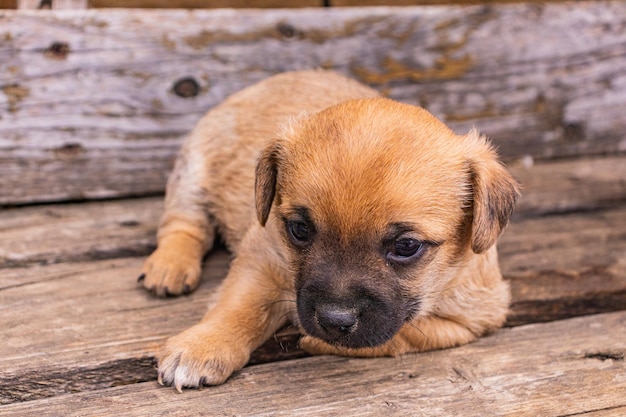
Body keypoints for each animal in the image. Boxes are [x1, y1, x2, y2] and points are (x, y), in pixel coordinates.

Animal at [139, 69, 520, 390]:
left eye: (407, 246)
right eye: (299, 229)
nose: (334, 319)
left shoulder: (473, 320)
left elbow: (406, 334)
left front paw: (316, 340)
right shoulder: (260, 258)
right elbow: (239, 306)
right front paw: (202, 346)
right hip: (193, 172)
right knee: (185, 225)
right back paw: (170, 265)